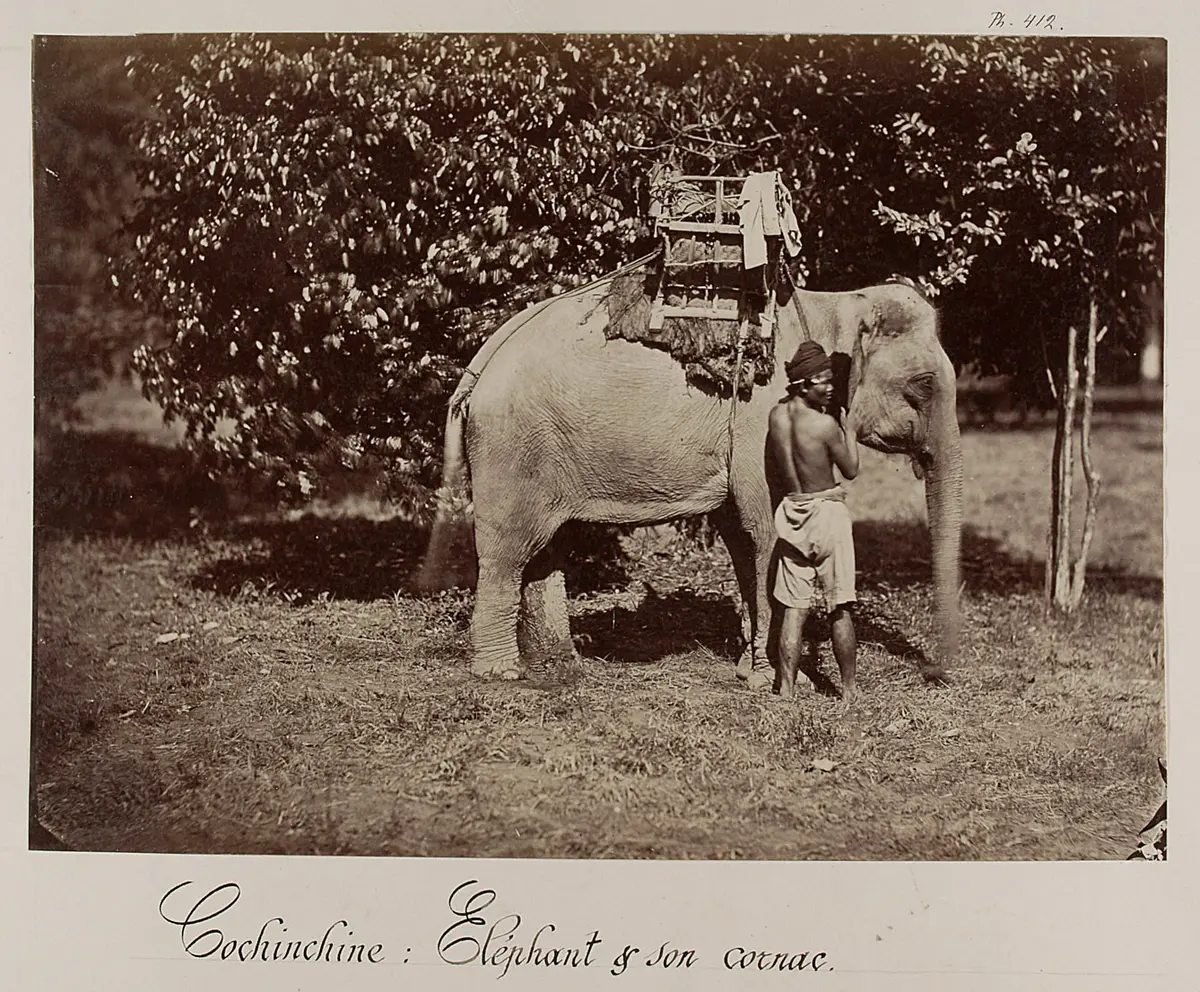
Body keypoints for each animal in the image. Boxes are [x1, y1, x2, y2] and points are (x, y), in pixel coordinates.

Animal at [417, 266, 962, 684]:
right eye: (923, 385)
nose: (939, 673)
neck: (838, 303)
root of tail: (480, 362)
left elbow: (743, 542)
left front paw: (750, 670)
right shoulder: (759, 426)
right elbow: (766, 532)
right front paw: (776, 681)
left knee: (541, 551)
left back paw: (558, 663)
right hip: (511, 447)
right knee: (507, 553)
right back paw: (501, 673)